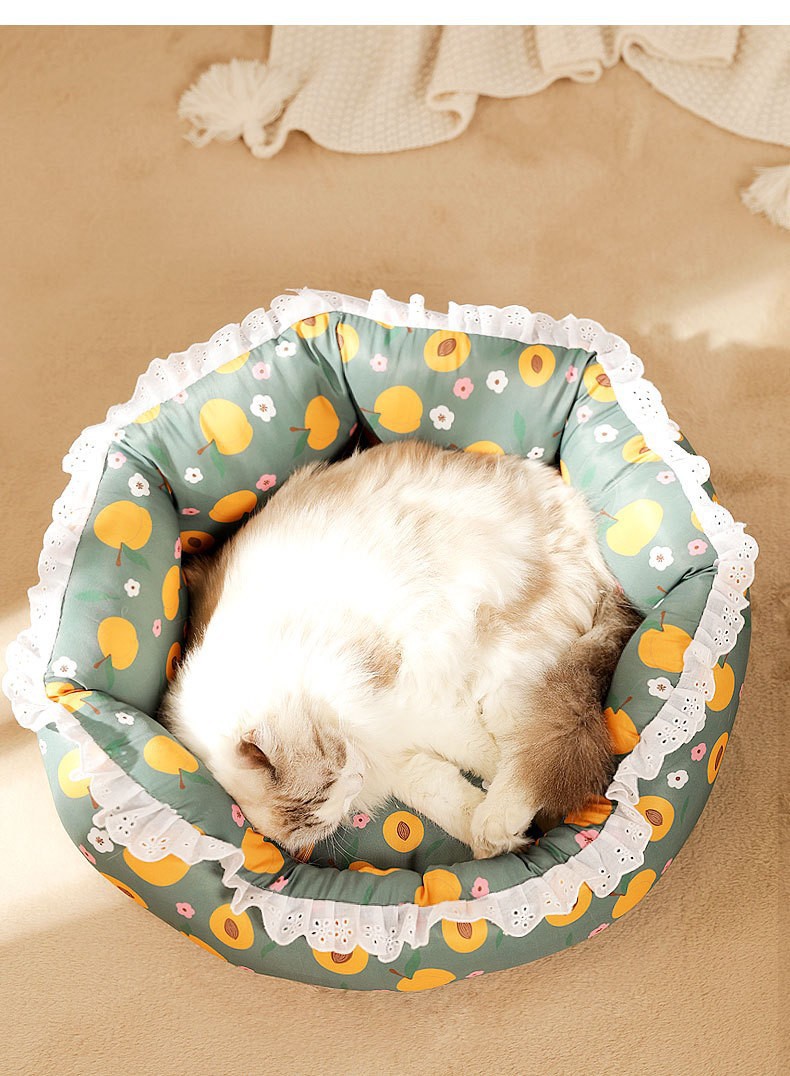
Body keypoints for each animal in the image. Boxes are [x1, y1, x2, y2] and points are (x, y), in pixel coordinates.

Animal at [160, 440, 640, 860]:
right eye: (326, 810)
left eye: (330, 778)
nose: (353, 781)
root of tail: (582, 526)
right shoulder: (397, 757)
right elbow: (448, 798)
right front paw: (495, 841)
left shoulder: (408, 699)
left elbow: (488, 755)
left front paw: (501, 825)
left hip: (508, 672)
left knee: (533, 748)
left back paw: (501, 815)